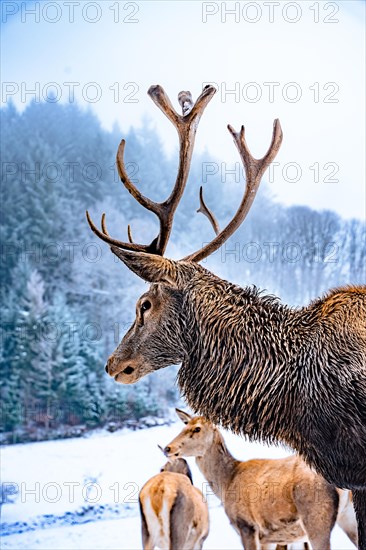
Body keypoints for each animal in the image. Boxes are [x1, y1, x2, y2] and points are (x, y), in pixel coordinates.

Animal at [163, 410, 358, 550]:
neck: (227, 482)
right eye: (184, 426)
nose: (167, 448)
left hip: (316, 517)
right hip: (349, 517)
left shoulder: (247, 525)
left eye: (197, 428)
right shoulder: (269, 538)